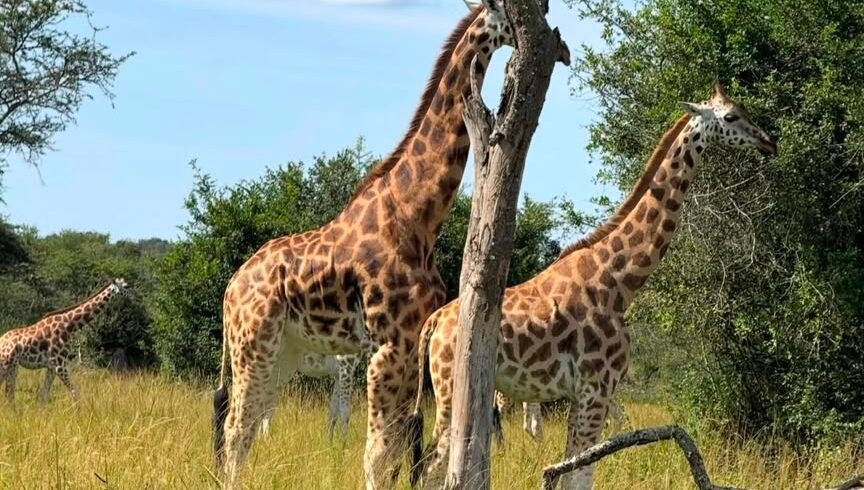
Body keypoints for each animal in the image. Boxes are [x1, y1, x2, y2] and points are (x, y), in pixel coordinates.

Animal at [0, 278, 131, 403]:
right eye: (126, 286)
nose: (133, 295)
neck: (68, 326)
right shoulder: (60, 364)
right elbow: (75, 393)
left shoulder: (52, 366)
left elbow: (43, 396)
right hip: (6, 364)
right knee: (9, 393)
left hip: (13, 366)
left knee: (9, 394)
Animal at [210, 3, 546, 488]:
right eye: (512, 13)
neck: (416, 215)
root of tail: (230, 288)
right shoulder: (390, 345)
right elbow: (378, 454)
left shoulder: (408, 344)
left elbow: (398, 449)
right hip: (253, 345)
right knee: (238, 428)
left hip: (282, 352)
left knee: (248, 425)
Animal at [409, 83, 777, 489]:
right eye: (730, 116)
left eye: (743, 109)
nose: (769, 142)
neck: (619, 281)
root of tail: (433, 323)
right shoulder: (595, 389)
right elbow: (579, 474)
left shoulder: (585, 394)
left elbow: (573, 470)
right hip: (449, 390)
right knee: (429, 468)